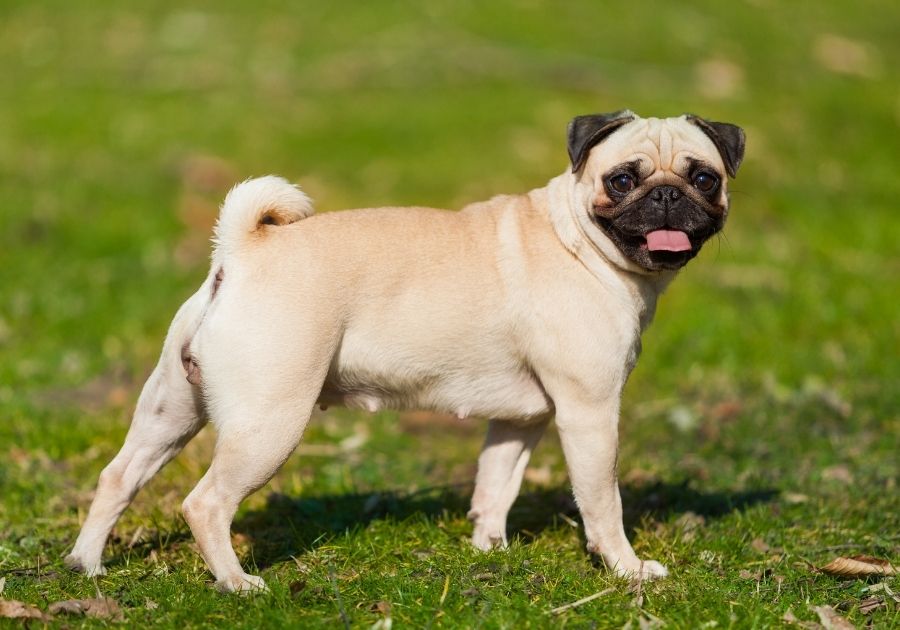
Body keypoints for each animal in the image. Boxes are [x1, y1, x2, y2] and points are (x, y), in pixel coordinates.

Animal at [65, 112, 744, 592]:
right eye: (623, 180)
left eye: (703, 178)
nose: (666, 196)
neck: (578, 239)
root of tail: (243, 251)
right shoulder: (590, 413)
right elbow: (603, 502)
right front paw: (627, 570)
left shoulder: (521, 420)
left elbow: (495, 488)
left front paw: (489, 551)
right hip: (269, 421)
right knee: (205, 503)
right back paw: (235, 582)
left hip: (171, 409)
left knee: (119, 476)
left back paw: (86, 565)